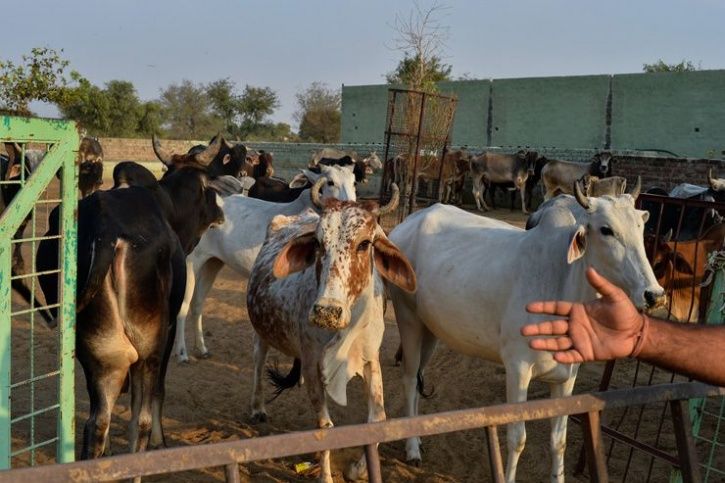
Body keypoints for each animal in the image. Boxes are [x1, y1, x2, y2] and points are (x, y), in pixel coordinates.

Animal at [36, 164, 223, 462]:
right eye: (206, 187)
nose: (221, 211)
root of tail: (105, 234)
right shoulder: (167, 333)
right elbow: (156, 394)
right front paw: (161, 442)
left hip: (102, 353)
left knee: (97, 422)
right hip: (148, 349)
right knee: (141, 418)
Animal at [175, 164, 356, 362]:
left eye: (354, 181)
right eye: (330, 182)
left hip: (212, 263)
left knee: (197, 303)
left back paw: (201, 348)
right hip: (191, 262)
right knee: (183, 306)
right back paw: (182, 353)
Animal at [247, 180, 412, 482]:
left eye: (364, 243)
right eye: (318, 243)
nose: (326, 311)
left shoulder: (370, 359)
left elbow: (378, 419)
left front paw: (358, 468)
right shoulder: (313, 363)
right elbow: (325, 426)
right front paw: (326, 475)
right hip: (262, 329)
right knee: (258, 359)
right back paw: (257, 407)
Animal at [388, 183, 664, 482]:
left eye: (640, 227)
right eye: (606, 230)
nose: (654, 295)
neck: (562, 282)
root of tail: (407, 223)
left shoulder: (567, 376)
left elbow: (559, 441)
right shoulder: (518, 368)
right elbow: (517, 438)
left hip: (430, 329)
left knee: (418, 375)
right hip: (408, 319)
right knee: (408, 379)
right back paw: (412, 447)